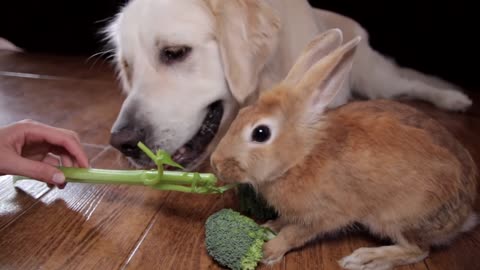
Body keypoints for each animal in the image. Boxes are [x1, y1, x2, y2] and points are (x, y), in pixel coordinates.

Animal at [106, 0, 472, 170]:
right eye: (127, 67)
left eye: (175, 52)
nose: (122, 143)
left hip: (376, 79)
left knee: (414, 83)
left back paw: (455, 99)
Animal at [210, 28, 476, 268]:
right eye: (241, 113)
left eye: (261, 133)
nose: (215, 163)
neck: (301, 157)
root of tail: (465, 214)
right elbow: (284, 223)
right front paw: (268, 227)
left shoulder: (325, 215)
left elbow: (294, 234)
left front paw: (269, 250)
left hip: (397, 217)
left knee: (417, 250)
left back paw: (364, 259)